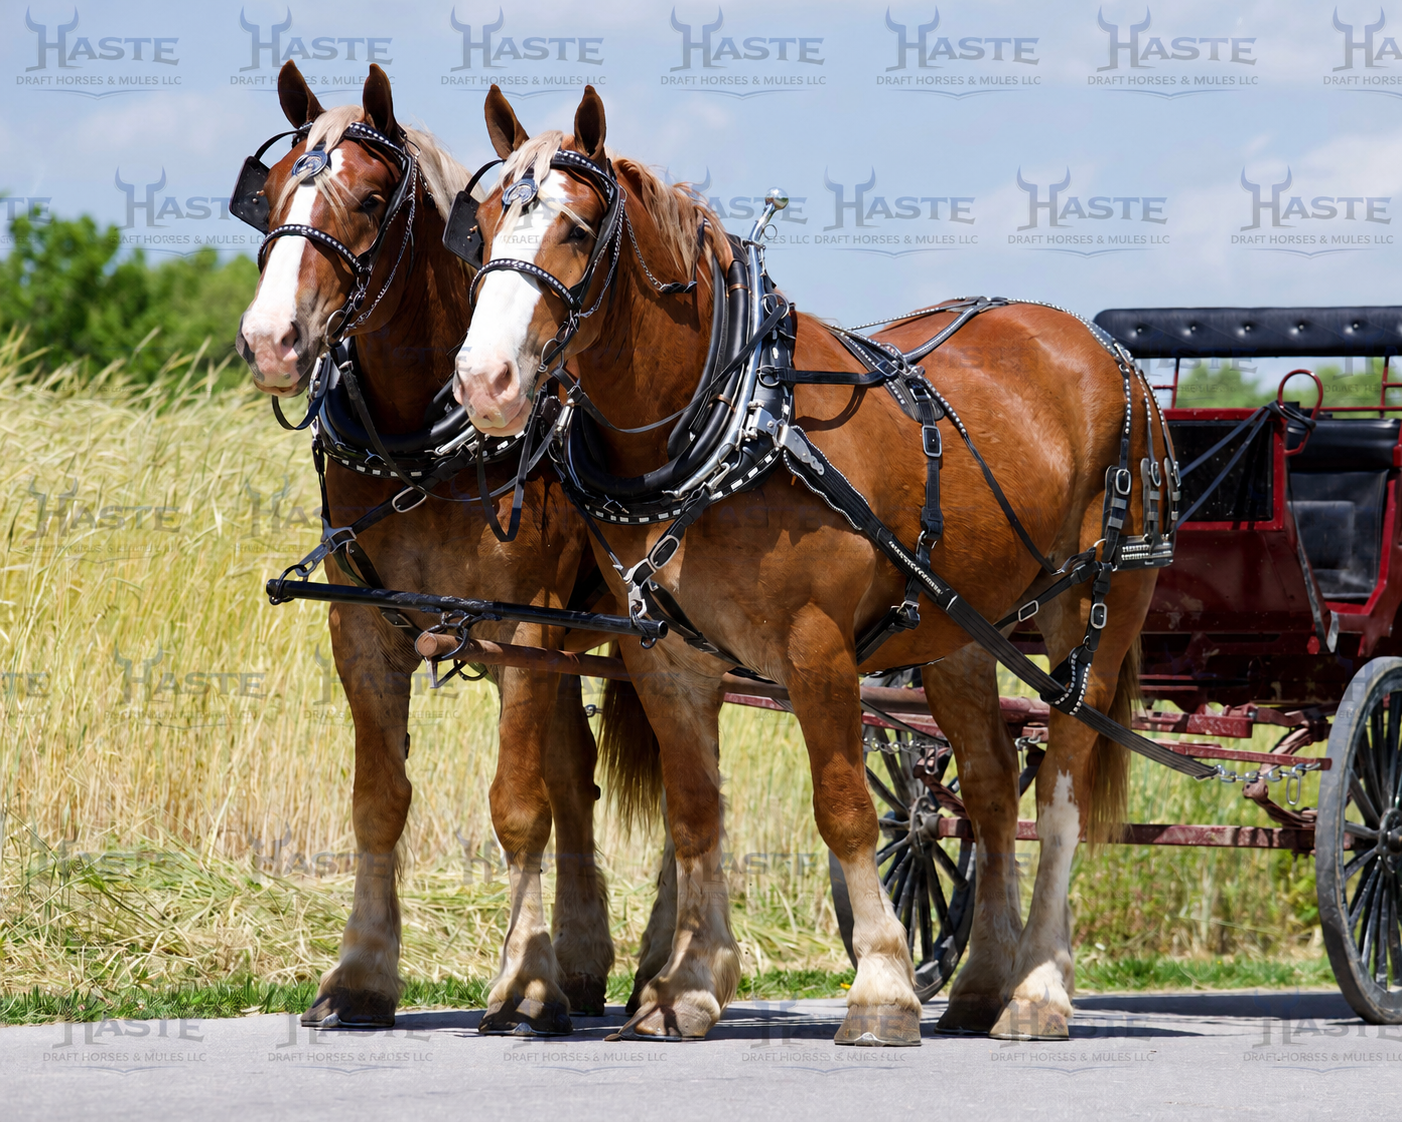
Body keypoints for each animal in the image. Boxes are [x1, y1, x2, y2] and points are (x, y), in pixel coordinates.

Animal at [235, 61, 650, 1034]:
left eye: (369, 198)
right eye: (268, 196)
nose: (271, 341)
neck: (421, 448)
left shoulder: (525, 622)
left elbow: (518, 806)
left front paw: (523, 985)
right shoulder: (363, 631)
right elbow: (379, 802)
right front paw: (360, 975)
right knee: (576, 776)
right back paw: (586, 962)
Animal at [452, 85, 1169, 1044]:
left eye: (577, 228)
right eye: (490, 219)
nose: (483, 381)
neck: (734, 418)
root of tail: (1101, 347)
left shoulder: (817, 650)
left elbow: (845, 809)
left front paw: (881, 984)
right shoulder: (666, 659)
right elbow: (695, 814)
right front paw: (688, 986)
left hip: (1099, 610)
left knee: (1059, 799)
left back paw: (1038, 989)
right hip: (959, 635)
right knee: (988, 792)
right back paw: (982, 984)